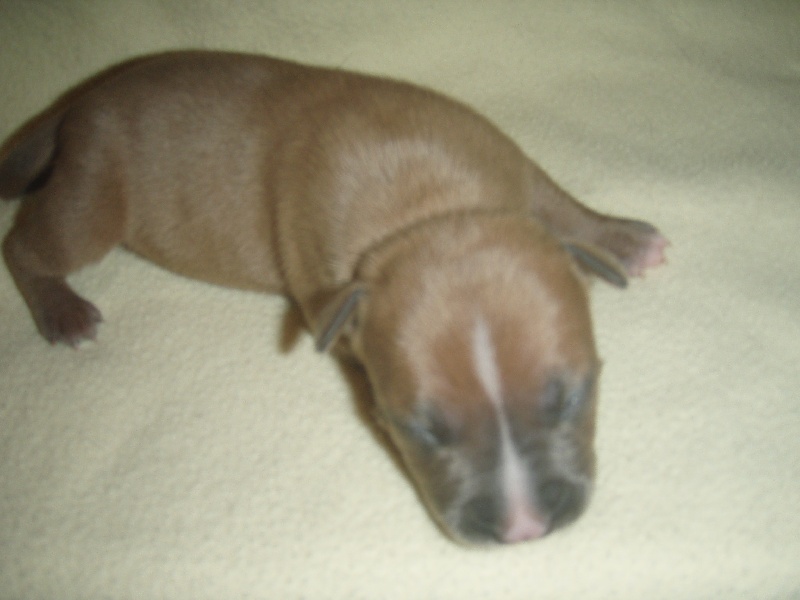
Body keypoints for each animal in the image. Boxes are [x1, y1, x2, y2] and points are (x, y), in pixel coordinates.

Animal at [0, 51, 667, 544]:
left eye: (572, 398)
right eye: (419, 430)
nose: (525, 528)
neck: (431, 208)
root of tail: (83, 99)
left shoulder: (511, 163)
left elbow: (558, 203)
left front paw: (620, 238)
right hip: (93, 195)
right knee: (26, 245)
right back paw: (62, 312)